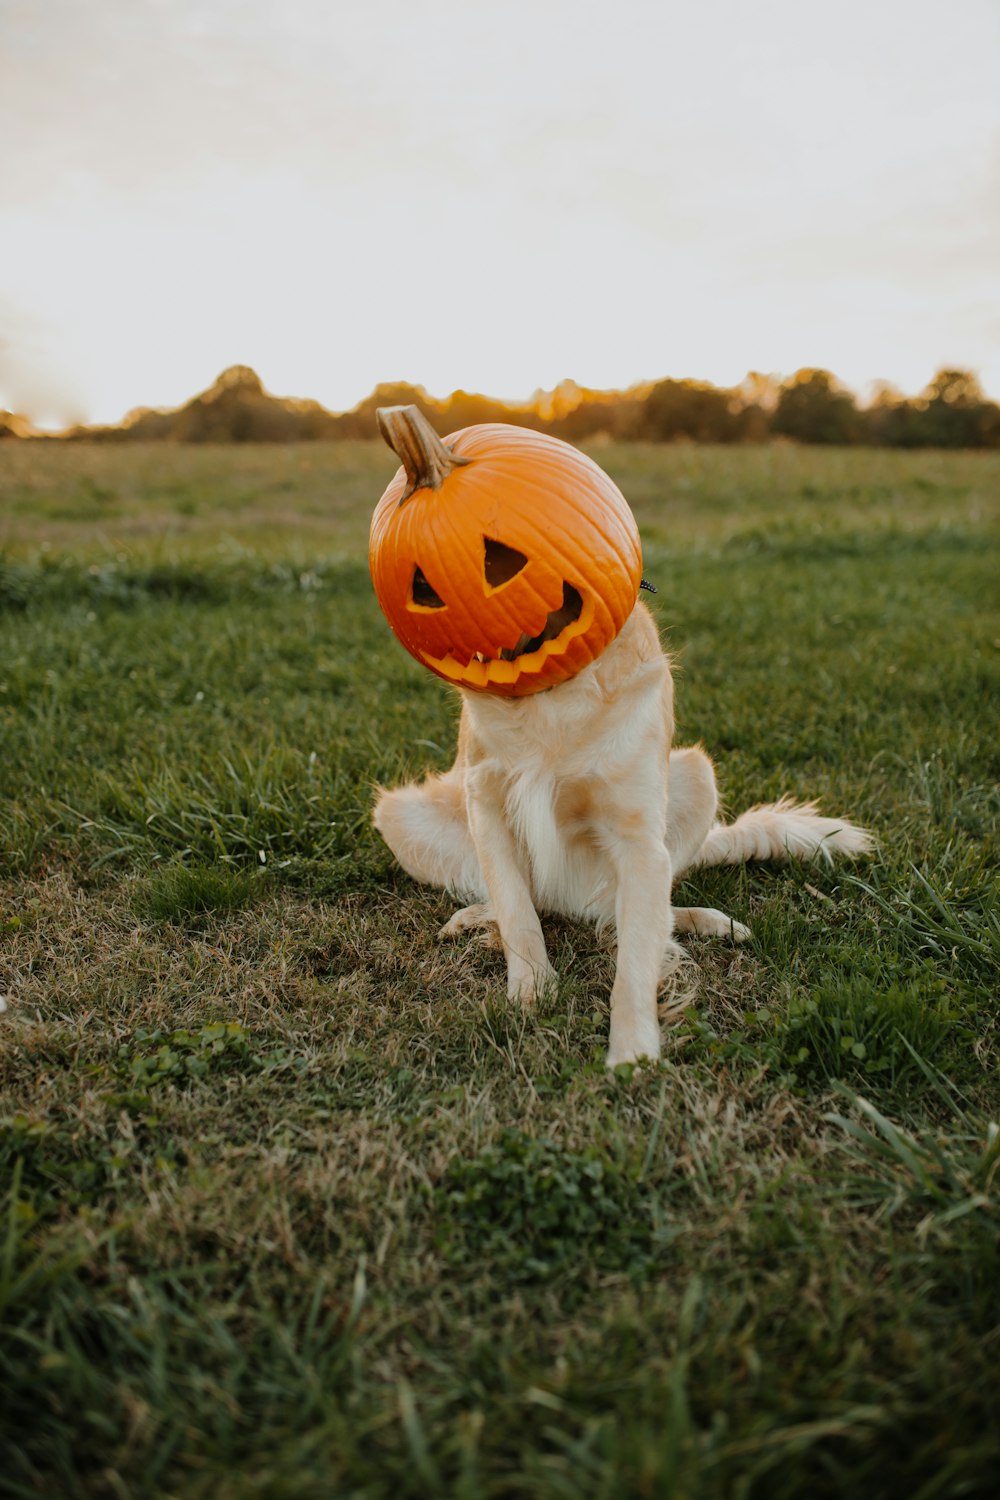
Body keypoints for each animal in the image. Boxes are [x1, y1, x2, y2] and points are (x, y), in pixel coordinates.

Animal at [371, 597, 869, 1068]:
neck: (551, 695)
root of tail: (571, 904)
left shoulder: (640, 840)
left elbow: (635, 958)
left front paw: (632, 1050)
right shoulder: (486, 801)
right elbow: (517, 911)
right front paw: (531, 989)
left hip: (698, 775)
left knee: (636, 913)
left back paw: (712, 923)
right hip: (399, 814)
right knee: (529, 901)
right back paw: (471, 917)